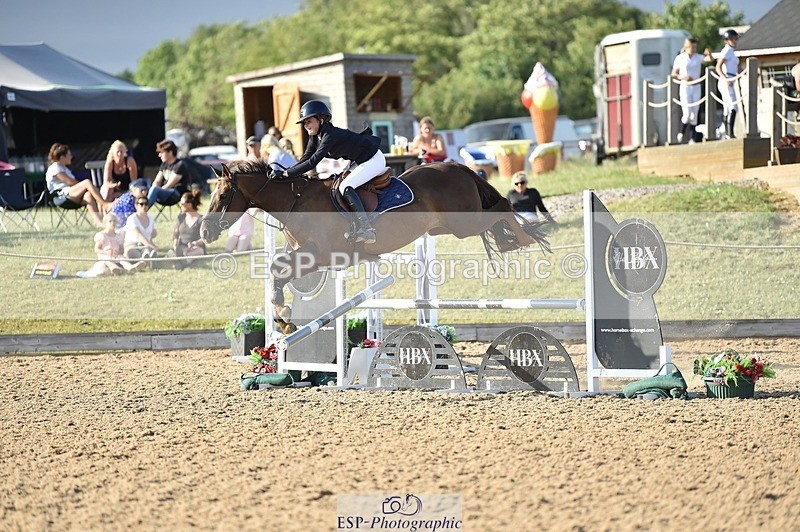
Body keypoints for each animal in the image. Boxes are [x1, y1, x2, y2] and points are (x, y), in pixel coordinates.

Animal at [200, 159, 549, 331]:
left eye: (223, 194)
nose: (204, 231)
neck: (295, 201)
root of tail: (456, 167)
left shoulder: (322, 253)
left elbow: (277, 269)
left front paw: (283, 312)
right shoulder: (313, 257)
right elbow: (279, 271)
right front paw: (283, 317)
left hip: (465, 224)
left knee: (502, 206)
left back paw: (524, 239)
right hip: (446, 228)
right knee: (498, 212)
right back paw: (514, 242)